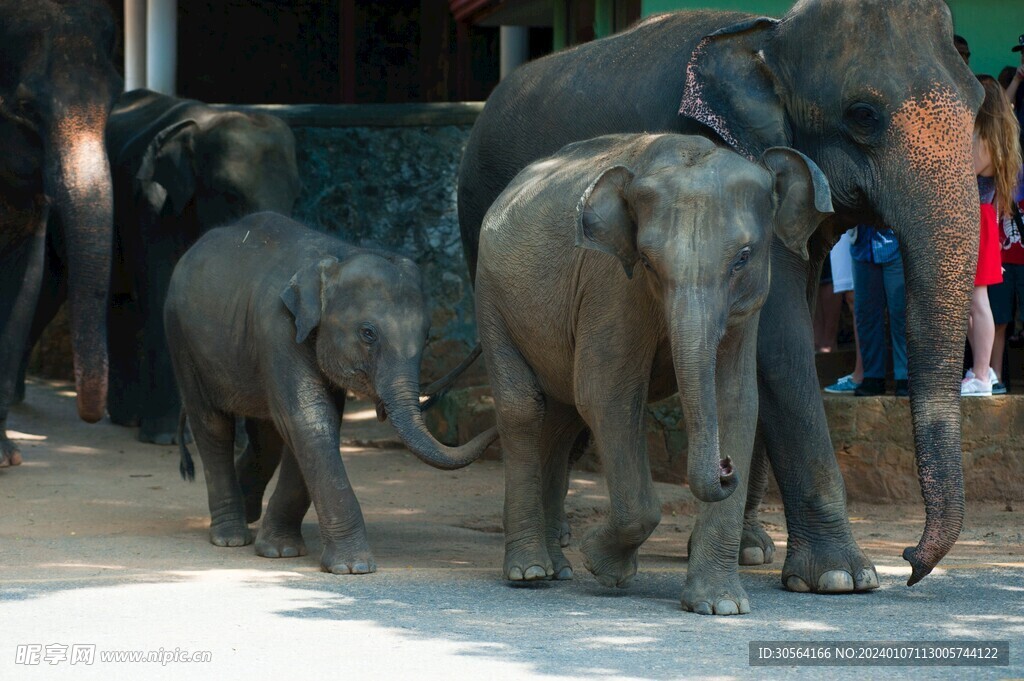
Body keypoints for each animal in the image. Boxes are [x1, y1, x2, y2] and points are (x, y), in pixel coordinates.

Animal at [101, 88, 300, 445]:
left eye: (295, 197)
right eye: (231, 194)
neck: (204, 125)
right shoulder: (155, 206)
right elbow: (163, 296)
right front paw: (165, 437)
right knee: (119, 295)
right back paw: (129, 419)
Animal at [165, 212, 498, 574]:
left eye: (426, 336)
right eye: (368, 333)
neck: (340, 255)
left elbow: (314, 423)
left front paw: (281, 550)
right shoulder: (277, 328)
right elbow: (309, 419)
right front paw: (353, 567)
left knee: (266, 434)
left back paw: (249, 511)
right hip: (182, 340)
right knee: (212, 425)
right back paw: (231, 536)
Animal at [476, 133, 831, 614]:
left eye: (743, 257)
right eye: (646, 260)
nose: (726, 467)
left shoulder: (749, 306)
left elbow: (737, 399)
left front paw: (720, 606)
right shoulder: (610, 284)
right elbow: (606, 393)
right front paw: (603, 564)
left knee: (561, 419)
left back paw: (557, 569)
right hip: (491, 299)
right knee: (524, 409)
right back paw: (530, 572)